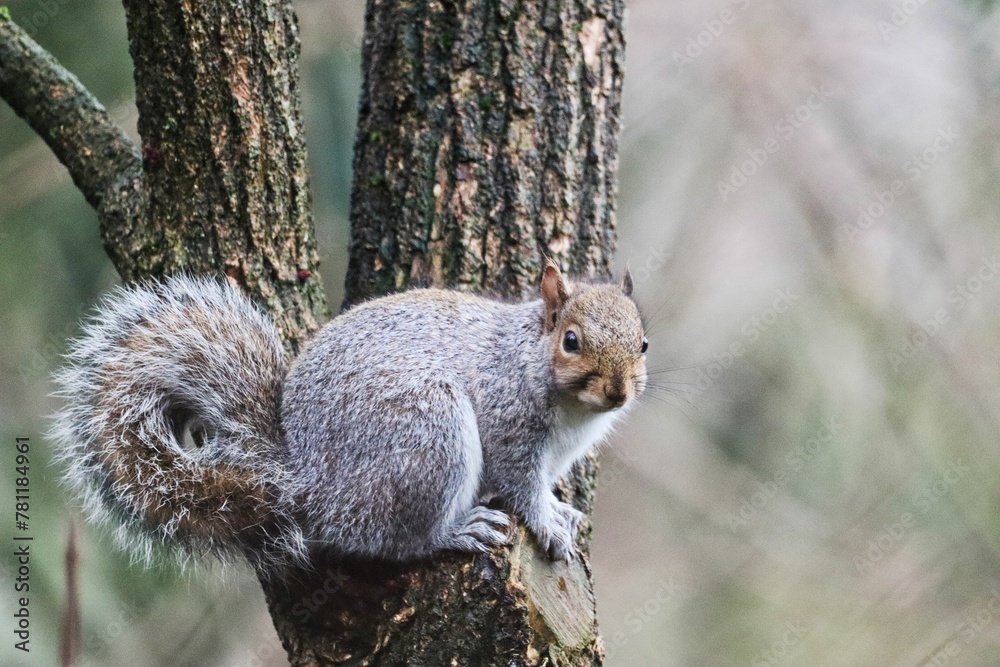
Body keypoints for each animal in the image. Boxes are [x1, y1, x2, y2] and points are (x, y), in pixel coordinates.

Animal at [52, 259, 647, 571]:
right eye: (571, 341)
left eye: (643, 342)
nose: (619, 390)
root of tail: (307, 482)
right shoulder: (509, 423)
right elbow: (520, 483)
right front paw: (547, 525)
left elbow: (542, 486)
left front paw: (560, 510)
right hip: (427, 436)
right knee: (395, 540)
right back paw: (458, 530)